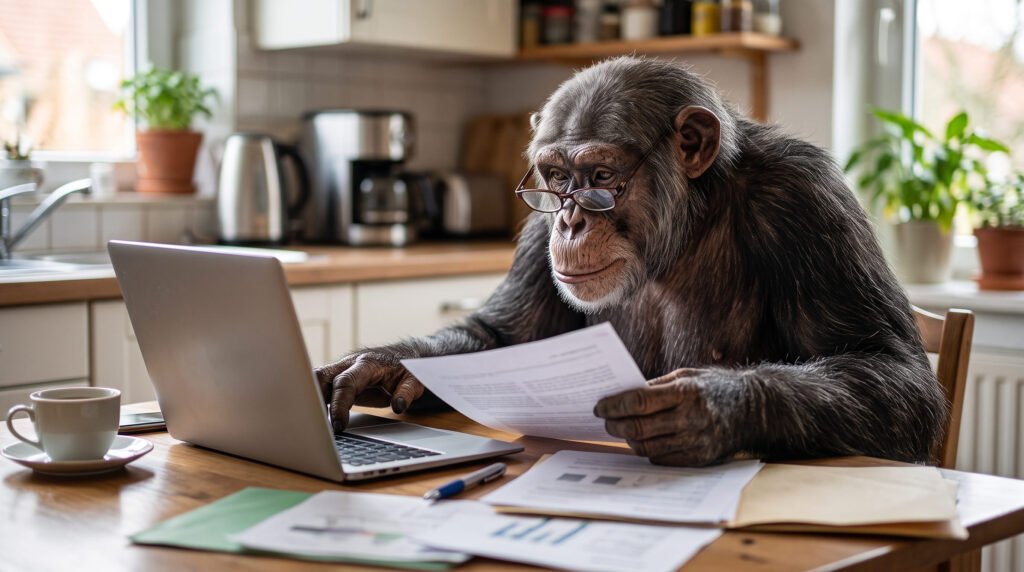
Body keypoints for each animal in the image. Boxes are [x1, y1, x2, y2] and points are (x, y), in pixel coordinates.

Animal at [315, 56, 947, 467]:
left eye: (601, 177)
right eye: (555, 179)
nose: (570, 221)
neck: (690, 222)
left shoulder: (806, 198)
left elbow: (888, 364)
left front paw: (704, 408)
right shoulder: (537, 222)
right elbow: (506, 332)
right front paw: (381, 365)